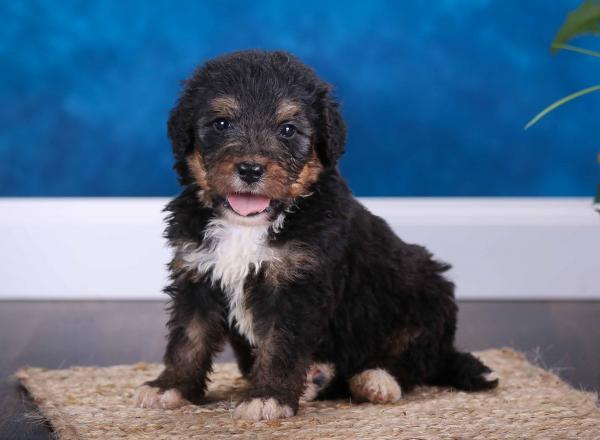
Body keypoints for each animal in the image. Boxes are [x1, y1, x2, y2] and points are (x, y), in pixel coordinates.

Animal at [136, 49, 496, 422]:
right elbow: (188, 338)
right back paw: (316, 379)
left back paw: (376, 380)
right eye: (222, 124)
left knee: (413, 356)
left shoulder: (298, 286)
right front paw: (170, 387)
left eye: (287, 130)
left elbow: (280, 345)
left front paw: (267, 396)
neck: (248, 226)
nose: (250, 169)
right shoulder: (197, 273)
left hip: (427, 298)